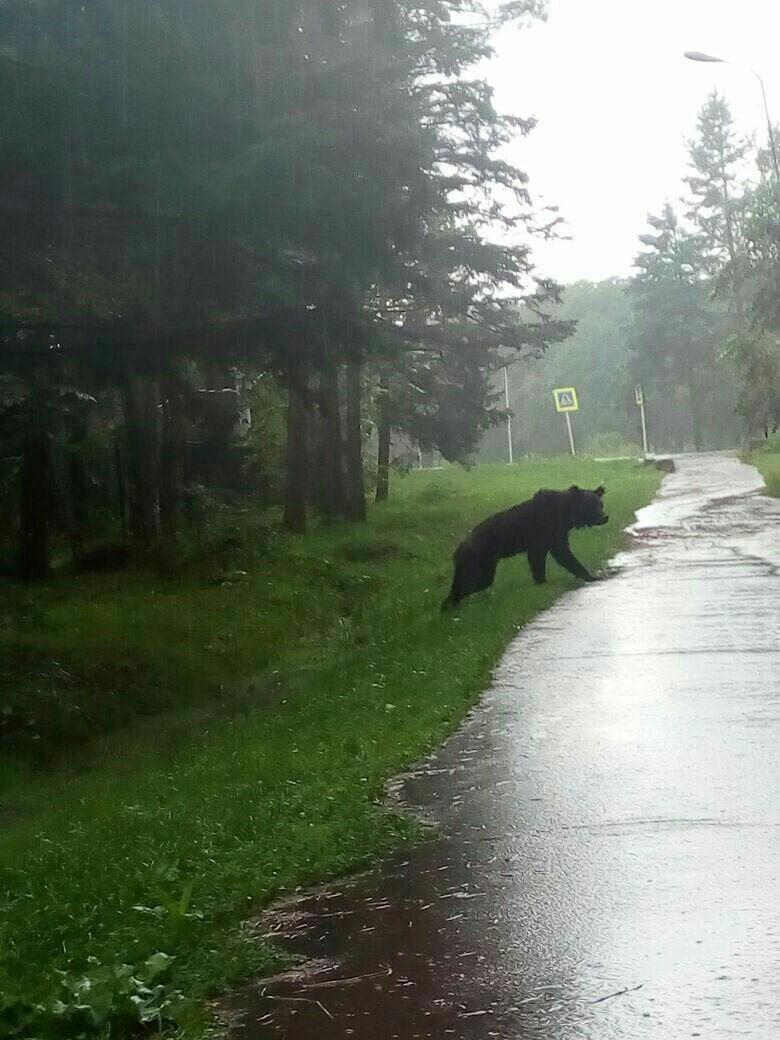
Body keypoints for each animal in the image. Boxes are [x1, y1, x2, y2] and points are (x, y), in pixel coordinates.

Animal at [443, 484, 607, 611]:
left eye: (601, 504)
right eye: (592, 505)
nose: (605, 517)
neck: (566, 516)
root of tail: (458, 550)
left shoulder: (555, 534)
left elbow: (554, 555)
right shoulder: (546, 530)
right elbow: (556, 555)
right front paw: (590, 576)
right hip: (480, 559)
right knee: (474, 582)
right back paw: (448, 605)